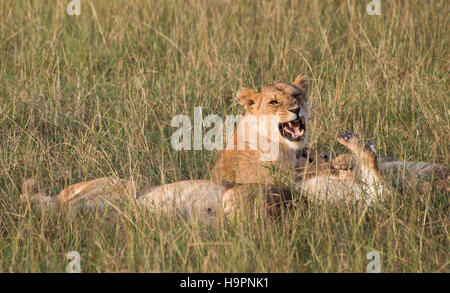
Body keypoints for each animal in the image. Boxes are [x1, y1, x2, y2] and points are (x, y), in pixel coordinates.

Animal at [22, 73, 450, 219]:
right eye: (274, 101)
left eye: (297, 94)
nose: (297, 107)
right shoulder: (276, 177)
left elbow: (323, 161)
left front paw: (339, 157)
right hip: (121, 185)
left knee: (379, 187)